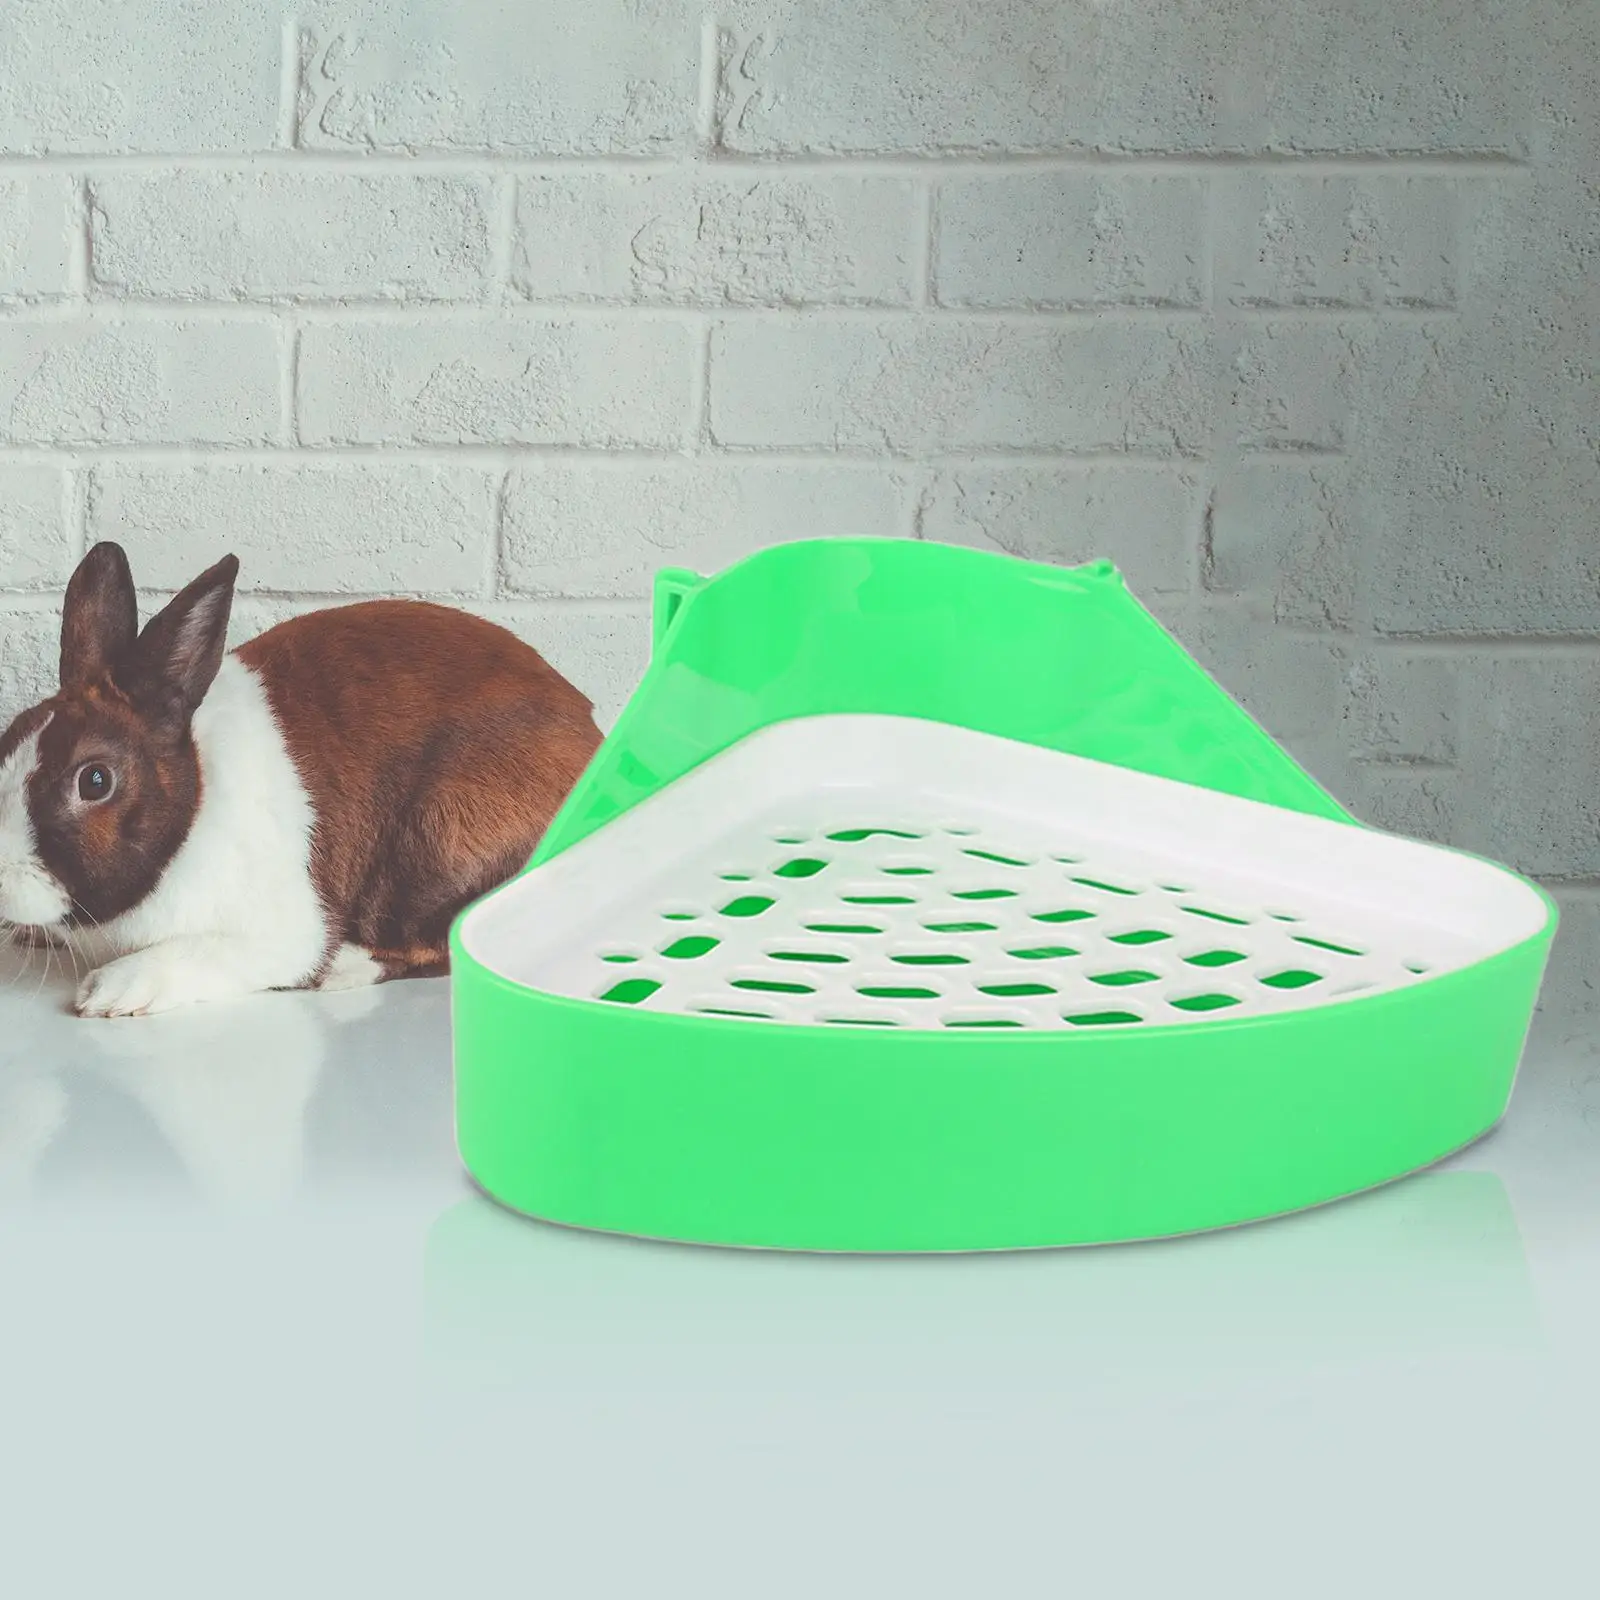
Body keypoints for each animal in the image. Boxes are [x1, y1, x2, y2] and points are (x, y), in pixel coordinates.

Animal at [0, 541, 602, 1018]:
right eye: (9, 738)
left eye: (95, 780)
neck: (195, 805)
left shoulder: (278, 933)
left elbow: (204, 952)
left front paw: (112, 991)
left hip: (440, 839)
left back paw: (344, 969)